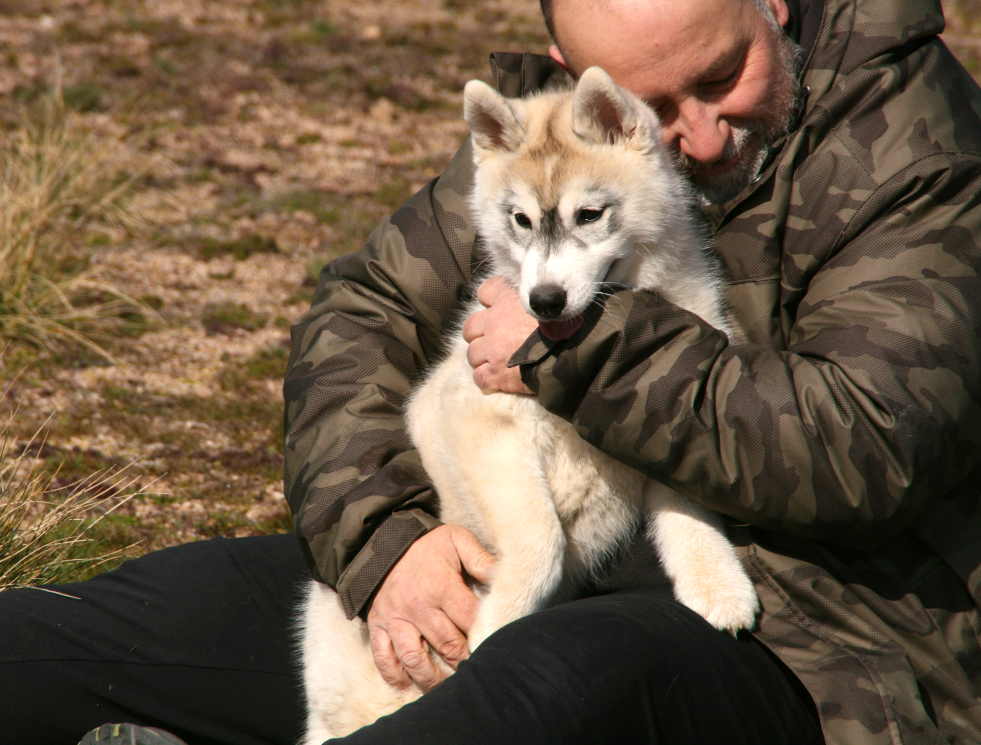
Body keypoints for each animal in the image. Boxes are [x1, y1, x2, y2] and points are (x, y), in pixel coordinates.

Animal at [298, 67, 756, 740]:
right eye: (519, 219)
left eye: (589, 214)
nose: (543, 300)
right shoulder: (483, 426)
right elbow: (541, 540)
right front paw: (495, 628)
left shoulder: (669, 427)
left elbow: (690, 513)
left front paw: (718, 584)